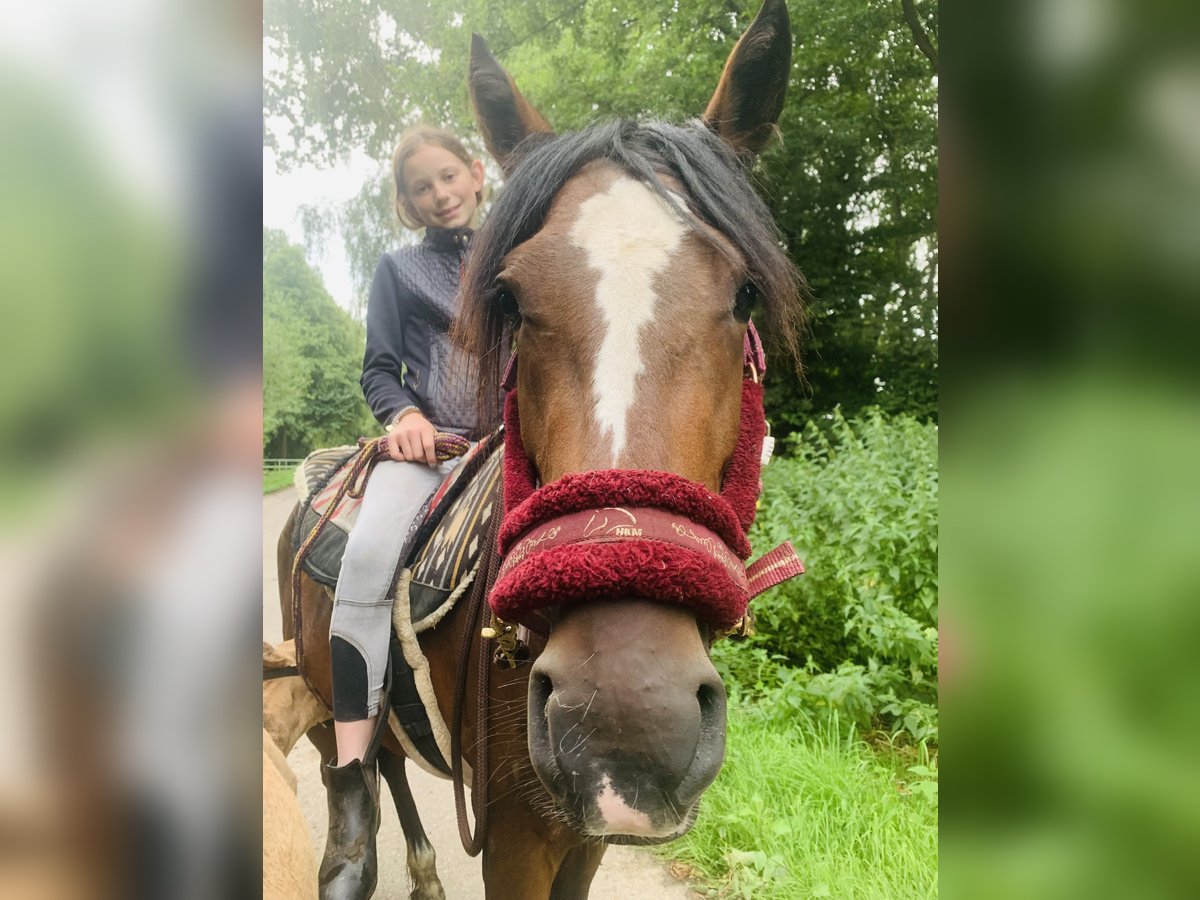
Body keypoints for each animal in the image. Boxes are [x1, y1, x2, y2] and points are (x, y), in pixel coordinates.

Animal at [282, 3, 806, 897]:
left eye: (744, 295)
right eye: (512, 300)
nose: (629, 719)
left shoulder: (582, 836)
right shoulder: (516, 837)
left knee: (392, 762)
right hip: (322, 701)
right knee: (357, 770)